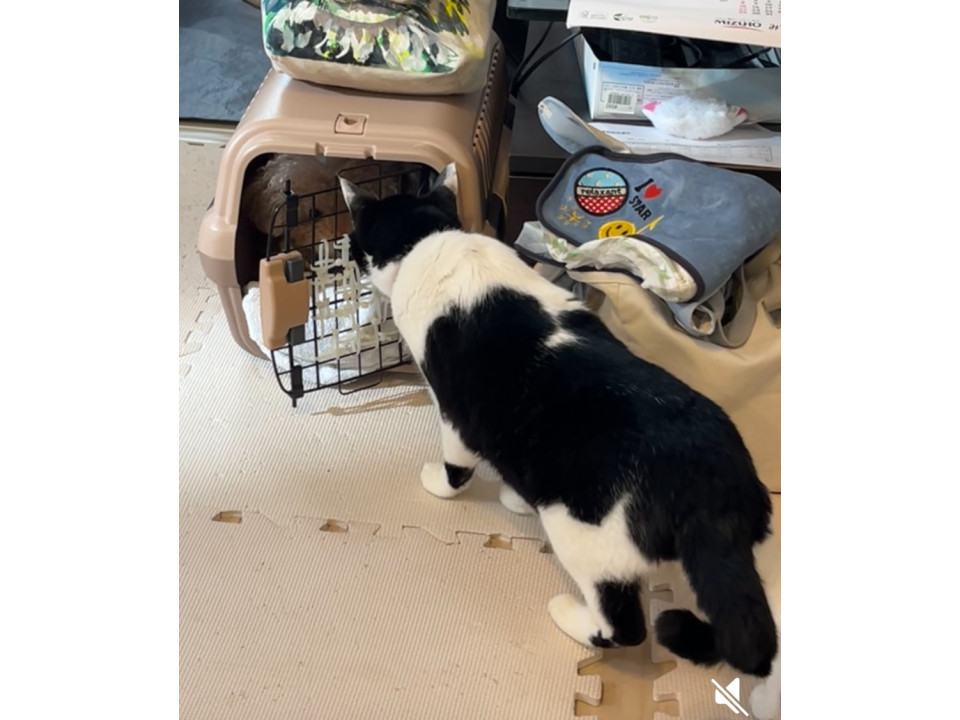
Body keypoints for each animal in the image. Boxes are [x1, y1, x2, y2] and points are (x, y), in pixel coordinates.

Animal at [339, 163, 779, 710]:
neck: (431, 238)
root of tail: (715, 482)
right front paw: (517, 499)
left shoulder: (456, 412)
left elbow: (458, 463)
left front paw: (441, 485)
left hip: (589, 537)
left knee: (626, 626)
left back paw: (570, 615)